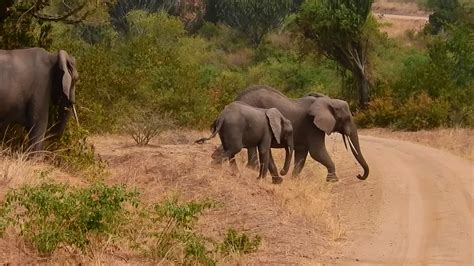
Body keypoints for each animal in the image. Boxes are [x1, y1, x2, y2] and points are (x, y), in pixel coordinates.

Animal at [237, 85, 370, 183]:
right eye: (347, 118)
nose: (359, 175)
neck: (329, 101)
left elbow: (301, 154)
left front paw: (295, 180)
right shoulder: (312, 126)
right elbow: (317, 152)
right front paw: (333, 181)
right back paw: (254, 170)